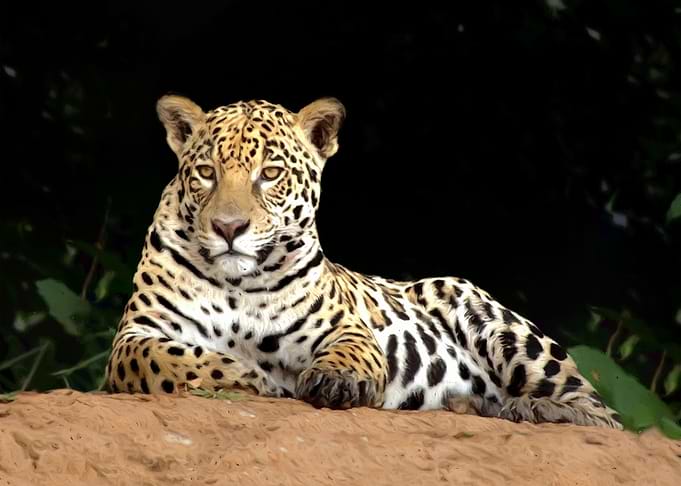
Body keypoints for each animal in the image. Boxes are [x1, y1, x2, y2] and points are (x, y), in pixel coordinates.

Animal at [105, 93, 623, 429]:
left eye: (269, 173)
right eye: (206, 173)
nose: (229, 228)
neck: (237, 285)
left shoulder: (346, 325)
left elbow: (350, 351)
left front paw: (334, 379)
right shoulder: (134, 335)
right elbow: (165, 358)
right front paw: (250, 377)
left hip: (480, 309)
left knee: (603, 413)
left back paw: (537, 410)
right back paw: (473, 406)